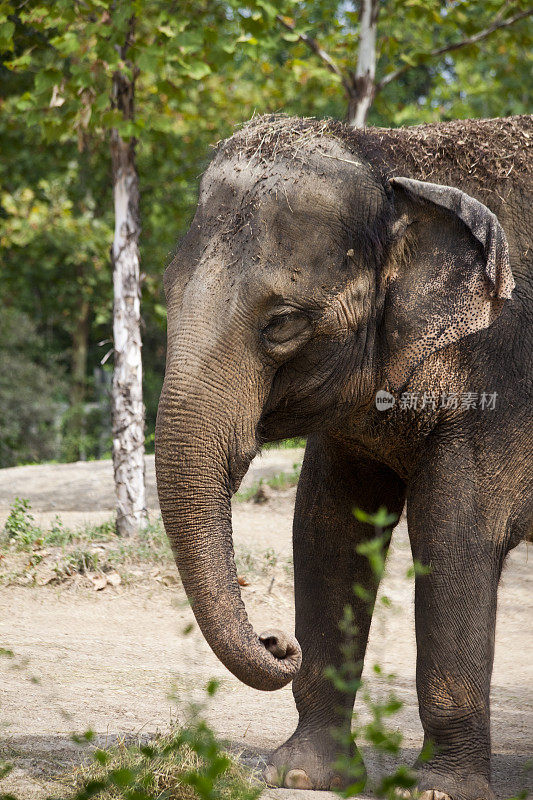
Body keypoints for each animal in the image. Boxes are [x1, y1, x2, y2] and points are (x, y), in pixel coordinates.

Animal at [155, 114, 532, 800]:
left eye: (281, 323)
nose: (277, 641)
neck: (395, 158)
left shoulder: (500, 385)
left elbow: (454, 540)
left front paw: (439, 789)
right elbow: (327, 528)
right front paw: (304, 774)